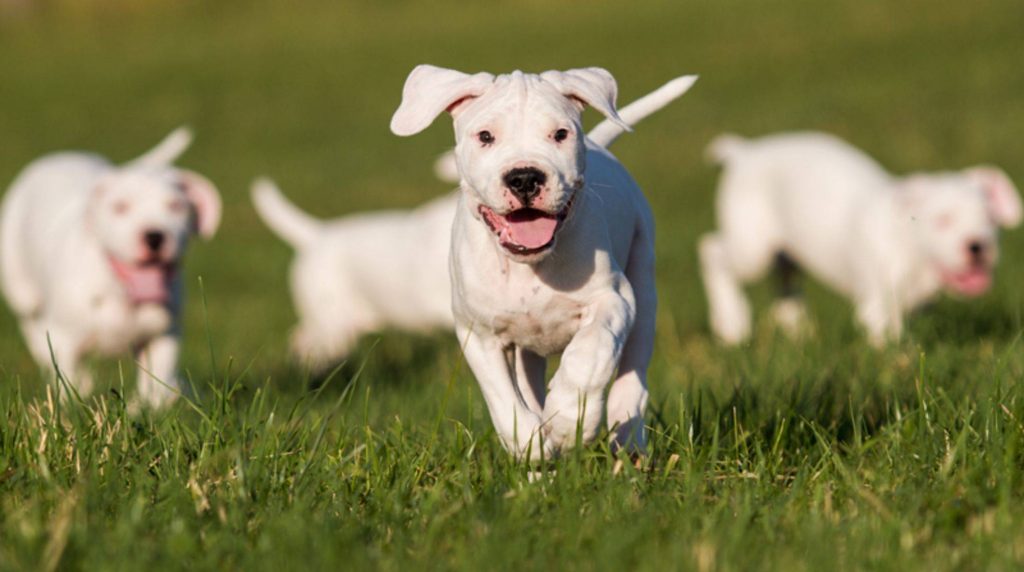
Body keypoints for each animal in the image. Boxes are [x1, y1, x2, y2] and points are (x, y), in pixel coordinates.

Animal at [0, 129, 223, 407]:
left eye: (176, 206)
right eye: (120, 207)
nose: (154, 236)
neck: (121, 292)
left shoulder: (163, 336)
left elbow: (157, 380)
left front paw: (153, 405)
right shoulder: (63, 338)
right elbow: (67, 375)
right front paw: (71, 403)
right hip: (22, 290)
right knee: (32, 325)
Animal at [249, 75, 696, 372]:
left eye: (560, 134)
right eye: (485, 137)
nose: (525, 178)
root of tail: (315, 235)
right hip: (332, 316)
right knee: (307, 339)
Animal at [389, 66, 696, 460]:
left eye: (560, 134)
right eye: (485, 136)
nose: (524, 177)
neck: (529, 267)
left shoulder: (613, 300)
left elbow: (588, 356)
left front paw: (570, 421)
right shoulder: (478, 332)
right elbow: (503, 398)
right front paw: (532, 445)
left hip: (643, 287)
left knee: (633, 372)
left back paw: (627, 441)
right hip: (526, 349)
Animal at [700, 132, 1019, 347]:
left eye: (991, 219)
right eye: (942, 220)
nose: (977, 246)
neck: (913, 254)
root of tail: (746, 151)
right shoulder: (876, 306)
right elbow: (888, 340)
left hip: (783, 251)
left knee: (785, 278)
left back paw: (797, 328)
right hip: (751, 250)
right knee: (712, 250)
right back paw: (732, 323)